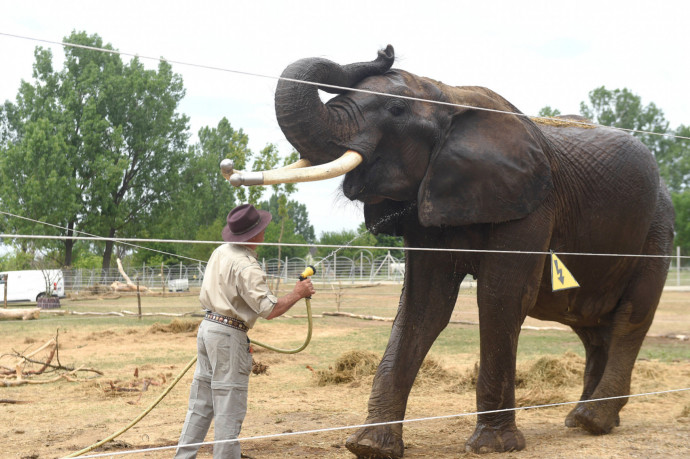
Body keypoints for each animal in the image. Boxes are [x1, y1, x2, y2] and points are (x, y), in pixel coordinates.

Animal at [224, 45, 672, 456]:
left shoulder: (532, 204)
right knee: (591, 325)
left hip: (658, 230)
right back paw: (581, 420)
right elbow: (424, 303)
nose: (385, 50)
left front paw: (494, 446)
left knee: (630, 318)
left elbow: (500, 297)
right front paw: (370, 447)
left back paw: (593, 421)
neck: (449, 95)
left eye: (397, 110)